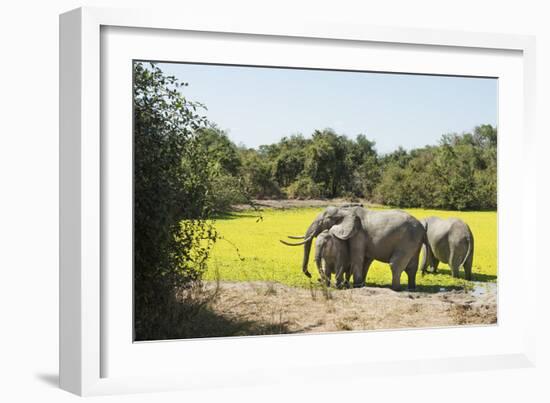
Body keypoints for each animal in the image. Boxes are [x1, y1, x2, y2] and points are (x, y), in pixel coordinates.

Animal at [282, 207, 424, 292]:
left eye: (323, 221)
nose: (310, 275)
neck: (343, 210)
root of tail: (422, 227)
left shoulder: (358, 233)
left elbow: (358, 256)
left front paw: (356, 285)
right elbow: (365, 260)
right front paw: (361, 284)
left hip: (407, 241)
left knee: (395, 264)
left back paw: (396, 289)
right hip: (415, 242)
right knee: (412, 267)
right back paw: (411, 289)